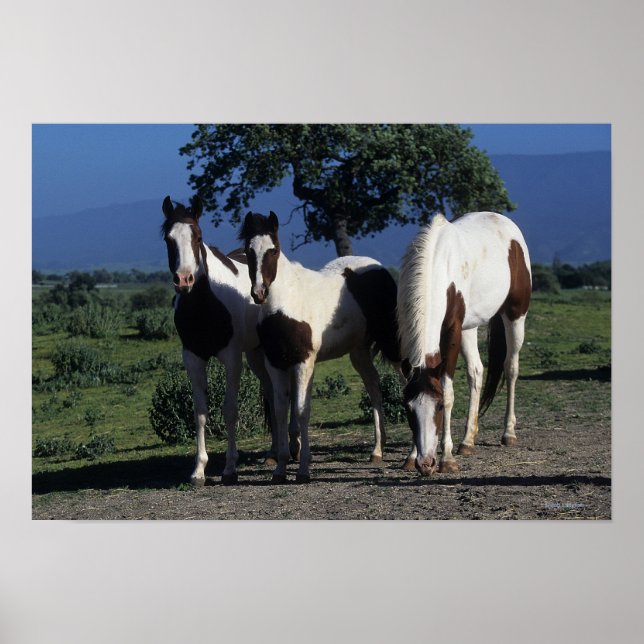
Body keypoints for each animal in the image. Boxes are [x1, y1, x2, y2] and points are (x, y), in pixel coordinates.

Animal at [161, 195, 277, 485]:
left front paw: (230, 468)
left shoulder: (232, 359)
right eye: (168, 238)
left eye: (197, 236)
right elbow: (200, 413)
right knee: (271, 393)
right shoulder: (193, 358)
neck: (206, 305)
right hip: (256, 354)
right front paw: (199, 470)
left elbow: (230, 410)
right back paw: (274, 452)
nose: (184, 280)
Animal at [238, 211, 401, 483]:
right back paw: (377, 451)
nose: (259, 293)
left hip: (393, 344)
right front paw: (280, 469)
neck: (285, 304)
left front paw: (303, 469)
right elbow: (280, 410)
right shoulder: (275, 363)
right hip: (359, 352)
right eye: (248, 251)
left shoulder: (304, 362)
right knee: (374, 389)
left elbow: (301, 410)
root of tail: (379, 269)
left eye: (274, 250)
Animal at [396, 211, 531, 476]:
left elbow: (448, 391)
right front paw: (411, 455)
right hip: (470, 327)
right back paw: (468, 441)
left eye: (439, 407)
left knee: (511, 368)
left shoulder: (452, 331)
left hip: (515, 316)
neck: (437, 266)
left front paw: (447, 458)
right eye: (408, 409)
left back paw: (508, 433)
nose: (426, 464)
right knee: (476, 372)